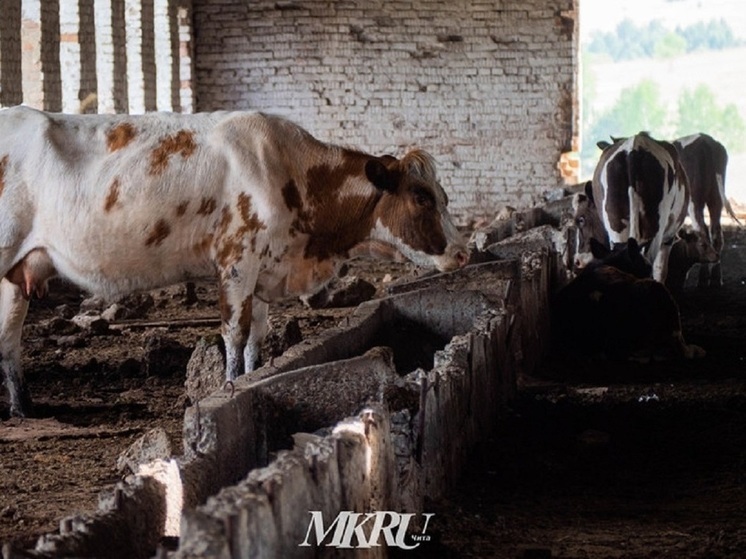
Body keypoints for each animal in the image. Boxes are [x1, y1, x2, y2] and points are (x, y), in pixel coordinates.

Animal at [0, 105, 464, 416]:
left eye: (444, 195)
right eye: (421, 197)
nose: (462, 253)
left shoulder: (263, 272)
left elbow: (257, 337)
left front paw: (250, 378)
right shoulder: (237, 261)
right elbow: (234, 335)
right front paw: (228, 384)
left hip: (15, 275)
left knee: (9, 337)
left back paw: (24, 406)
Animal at [668, 132, 740, 288]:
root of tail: (704, 140)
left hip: (694, 201)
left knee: (703, 231)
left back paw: (702, 278)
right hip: (716, 198)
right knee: (716, 232)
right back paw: (716, 278)